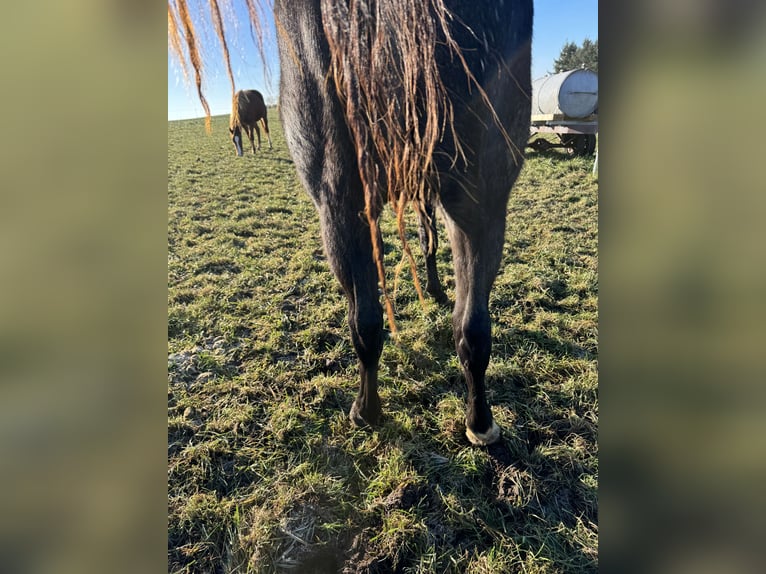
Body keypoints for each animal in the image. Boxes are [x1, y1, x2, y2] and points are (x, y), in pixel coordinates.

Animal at [170, 0, 536, 448]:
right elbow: (428, 241)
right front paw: (434, 288)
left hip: (339, 200)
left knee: (366, 320)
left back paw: (366, 410)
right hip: (481, 195)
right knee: (471, 326)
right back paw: (480, 421)